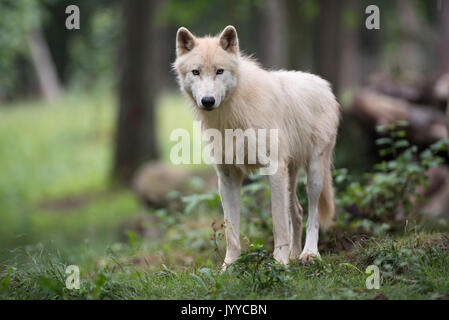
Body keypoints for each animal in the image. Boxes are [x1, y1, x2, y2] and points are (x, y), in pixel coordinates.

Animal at [173, 25, 338, 266]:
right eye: (196, 72)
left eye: (219, 71)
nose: (208, 101)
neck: (232, 116)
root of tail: (324, 84)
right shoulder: (228, 176)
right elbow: (231, 231)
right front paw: (229, 266)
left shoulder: (274, 169)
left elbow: (278, 224)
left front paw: (279, 264)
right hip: (290, 175)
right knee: (297, 212)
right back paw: (294, 255)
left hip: (314, 174)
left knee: (312, 216)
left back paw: (309, 254)